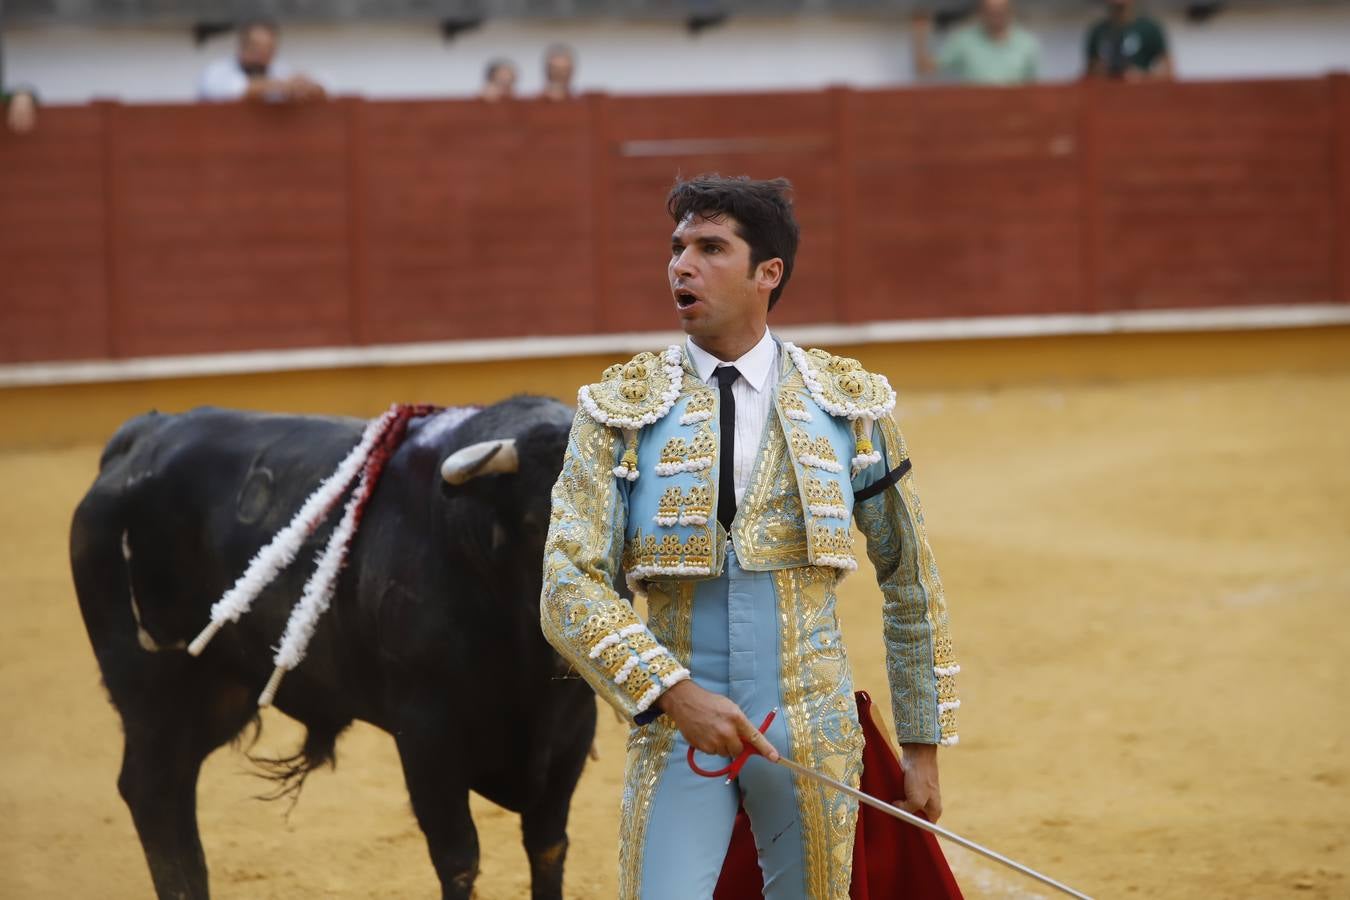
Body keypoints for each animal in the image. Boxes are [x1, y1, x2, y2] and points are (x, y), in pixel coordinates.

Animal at [68, 396, 596, 900]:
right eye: (538, 520)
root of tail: (142, 435)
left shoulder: (571, 732)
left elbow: (548, 847)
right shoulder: (425, 735)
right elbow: (458, 856)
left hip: (219, 693)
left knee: (173, 785)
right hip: (149, 687)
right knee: (153, 792)